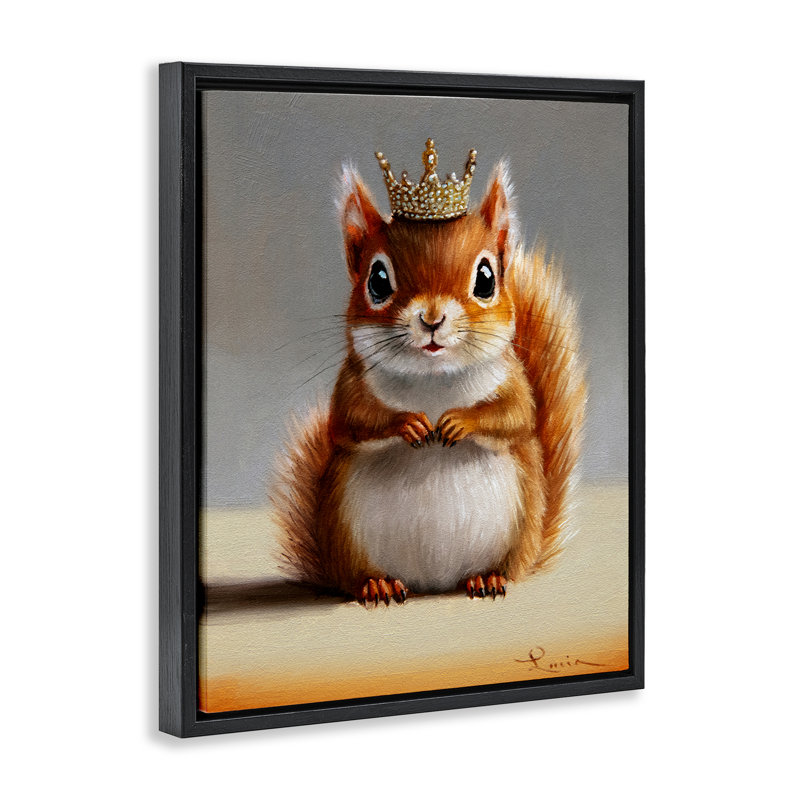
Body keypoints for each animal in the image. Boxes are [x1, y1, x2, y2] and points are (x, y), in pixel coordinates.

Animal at [271, 140, 586, 605]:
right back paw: (378, 583)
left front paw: (459, 422)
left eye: (487, 278)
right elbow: (350, 421)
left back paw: (487, 578)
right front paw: (409, 423)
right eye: (377, 280)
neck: (433, 380)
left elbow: (514, 416)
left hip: (518, 530)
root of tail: (432, 583)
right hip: (345, 534)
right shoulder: (350, 385)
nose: (432, 319)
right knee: (358, 577)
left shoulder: (514, 382)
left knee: (505, 569)